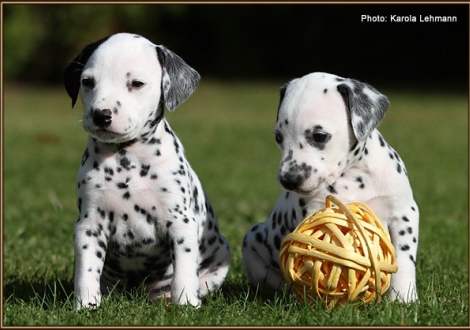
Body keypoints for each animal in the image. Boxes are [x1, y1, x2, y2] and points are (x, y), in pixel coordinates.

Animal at [62, 33, 231, 310]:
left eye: (137, 83)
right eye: (87, 82)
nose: (101, 115)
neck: (127, 161)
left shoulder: (181, 223)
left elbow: (184, 272)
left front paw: (185, 304)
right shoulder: (89, 225)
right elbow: (86, 271)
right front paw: (86, 306)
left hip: (220, 256)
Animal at [242, 73, 418, 304]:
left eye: (319, 136)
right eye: (278, 137)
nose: (289, 180)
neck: (353, 176)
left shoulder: (404, 213)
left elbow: (404, 259)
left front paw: (404, 298)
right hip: (251, 241)